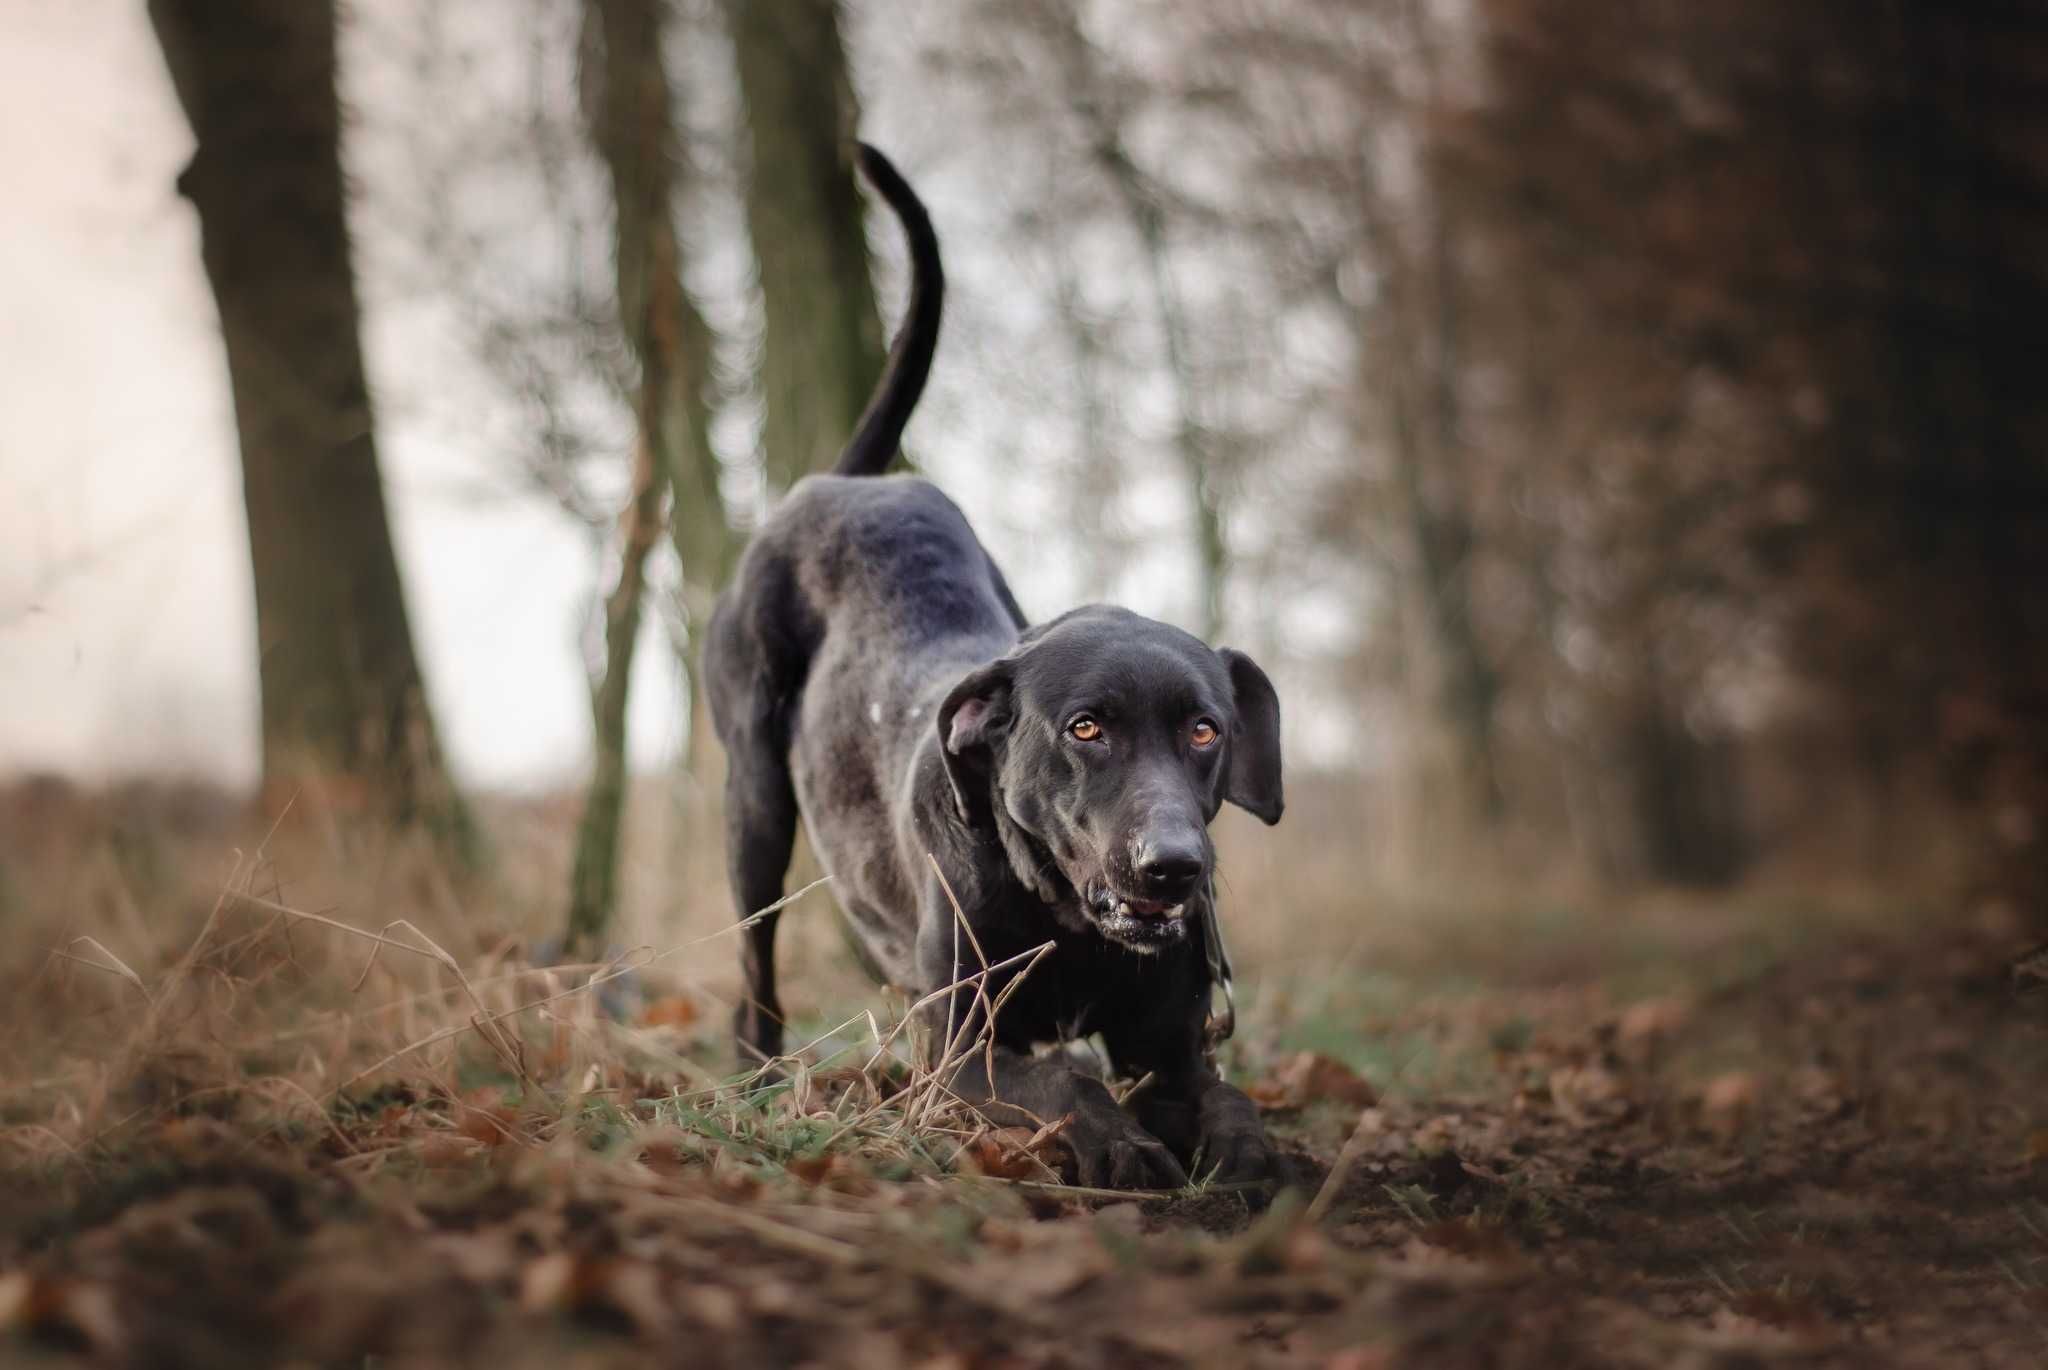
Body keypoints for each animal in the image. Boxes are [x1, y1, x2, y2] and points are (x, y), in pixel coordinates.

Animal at [704, 147, 1277, 1187]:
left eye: (1204, 730)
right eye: (1085, 728)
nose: (1173, 865)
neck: (1069, 922)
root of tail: (841, 482)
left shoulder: (1171, 1049)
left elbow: (1225, 1095)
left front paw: (1246, 1150)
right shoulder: (962, 1053)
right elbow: (1061, 1079)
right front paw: (1116, 1144)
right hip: (754, 800)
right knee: (753, 969)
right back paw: (759, 1078)